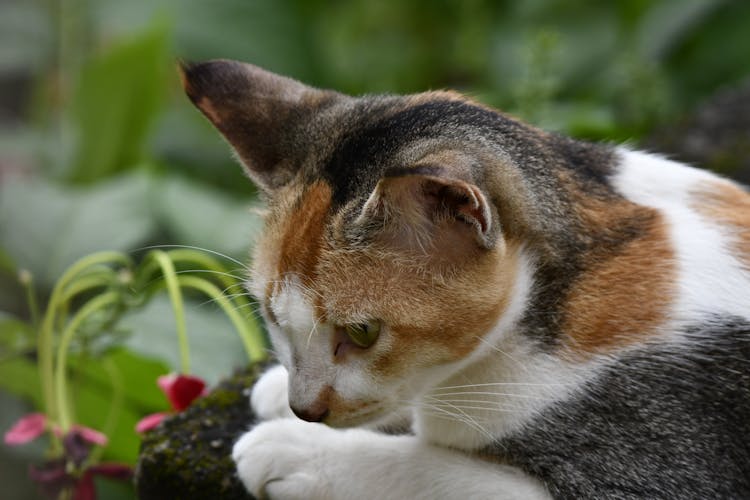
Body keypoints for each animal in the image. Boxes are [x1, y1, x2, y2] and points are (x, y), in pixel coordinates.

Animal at [181, 60, 750, 498]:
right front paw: (276, 389)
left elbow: (431, 469)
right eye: (274, 317)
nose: (305, 408)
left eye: (363, 333)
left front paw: (293, 449)